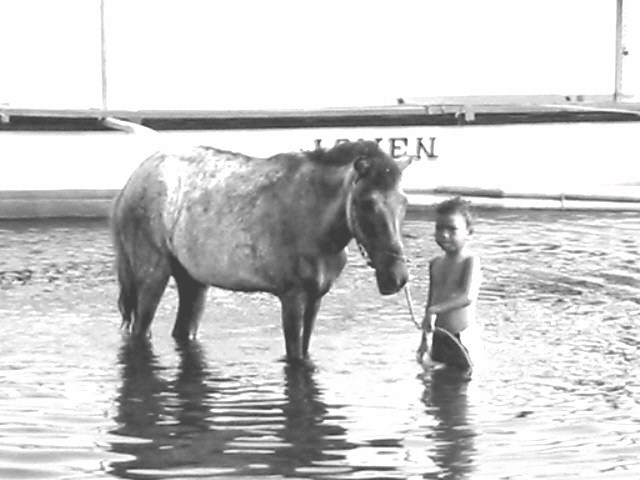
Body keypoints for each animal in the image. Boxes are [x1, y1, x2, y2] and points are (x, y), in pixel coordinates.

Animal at [112, 138, 412, 360]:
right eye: (367, 203)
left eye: (404, 202)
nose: (397, 277)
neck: (312, 214)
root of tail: (132, 182)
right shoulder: (292, 297)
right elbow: (294, 355)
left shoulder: (315, 297)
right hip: (152, 275)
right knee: (140, 330)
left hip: (192, 282)